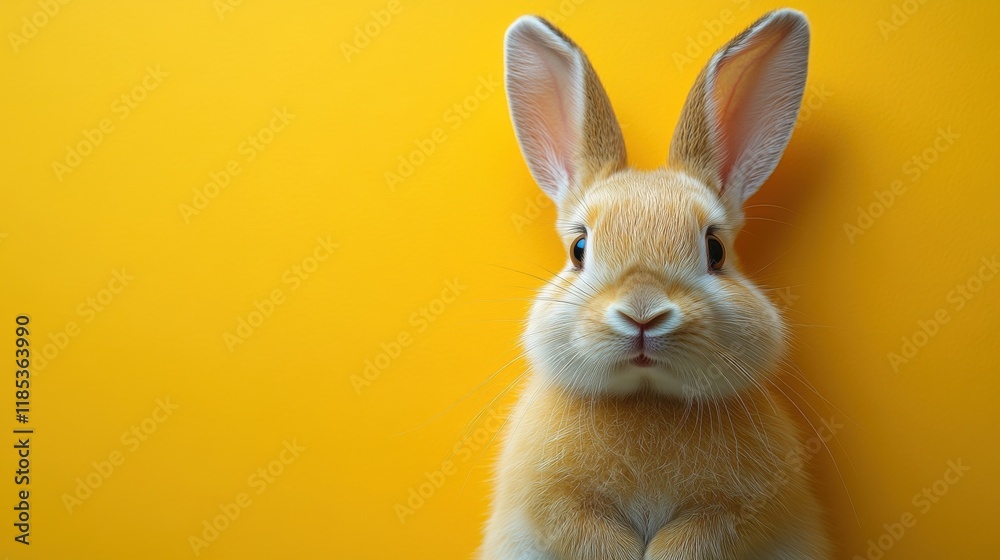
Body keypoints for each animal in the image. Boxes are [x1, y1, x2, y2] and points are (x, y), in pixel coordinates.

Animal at [478, 9, 832, 560]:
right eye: (579, 249)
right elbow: (588, 533)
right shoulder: (556, 505)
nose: (642, 312)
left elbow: (696, 538)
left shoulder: (734, 512)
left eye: (715, 250)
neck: (647, 400)